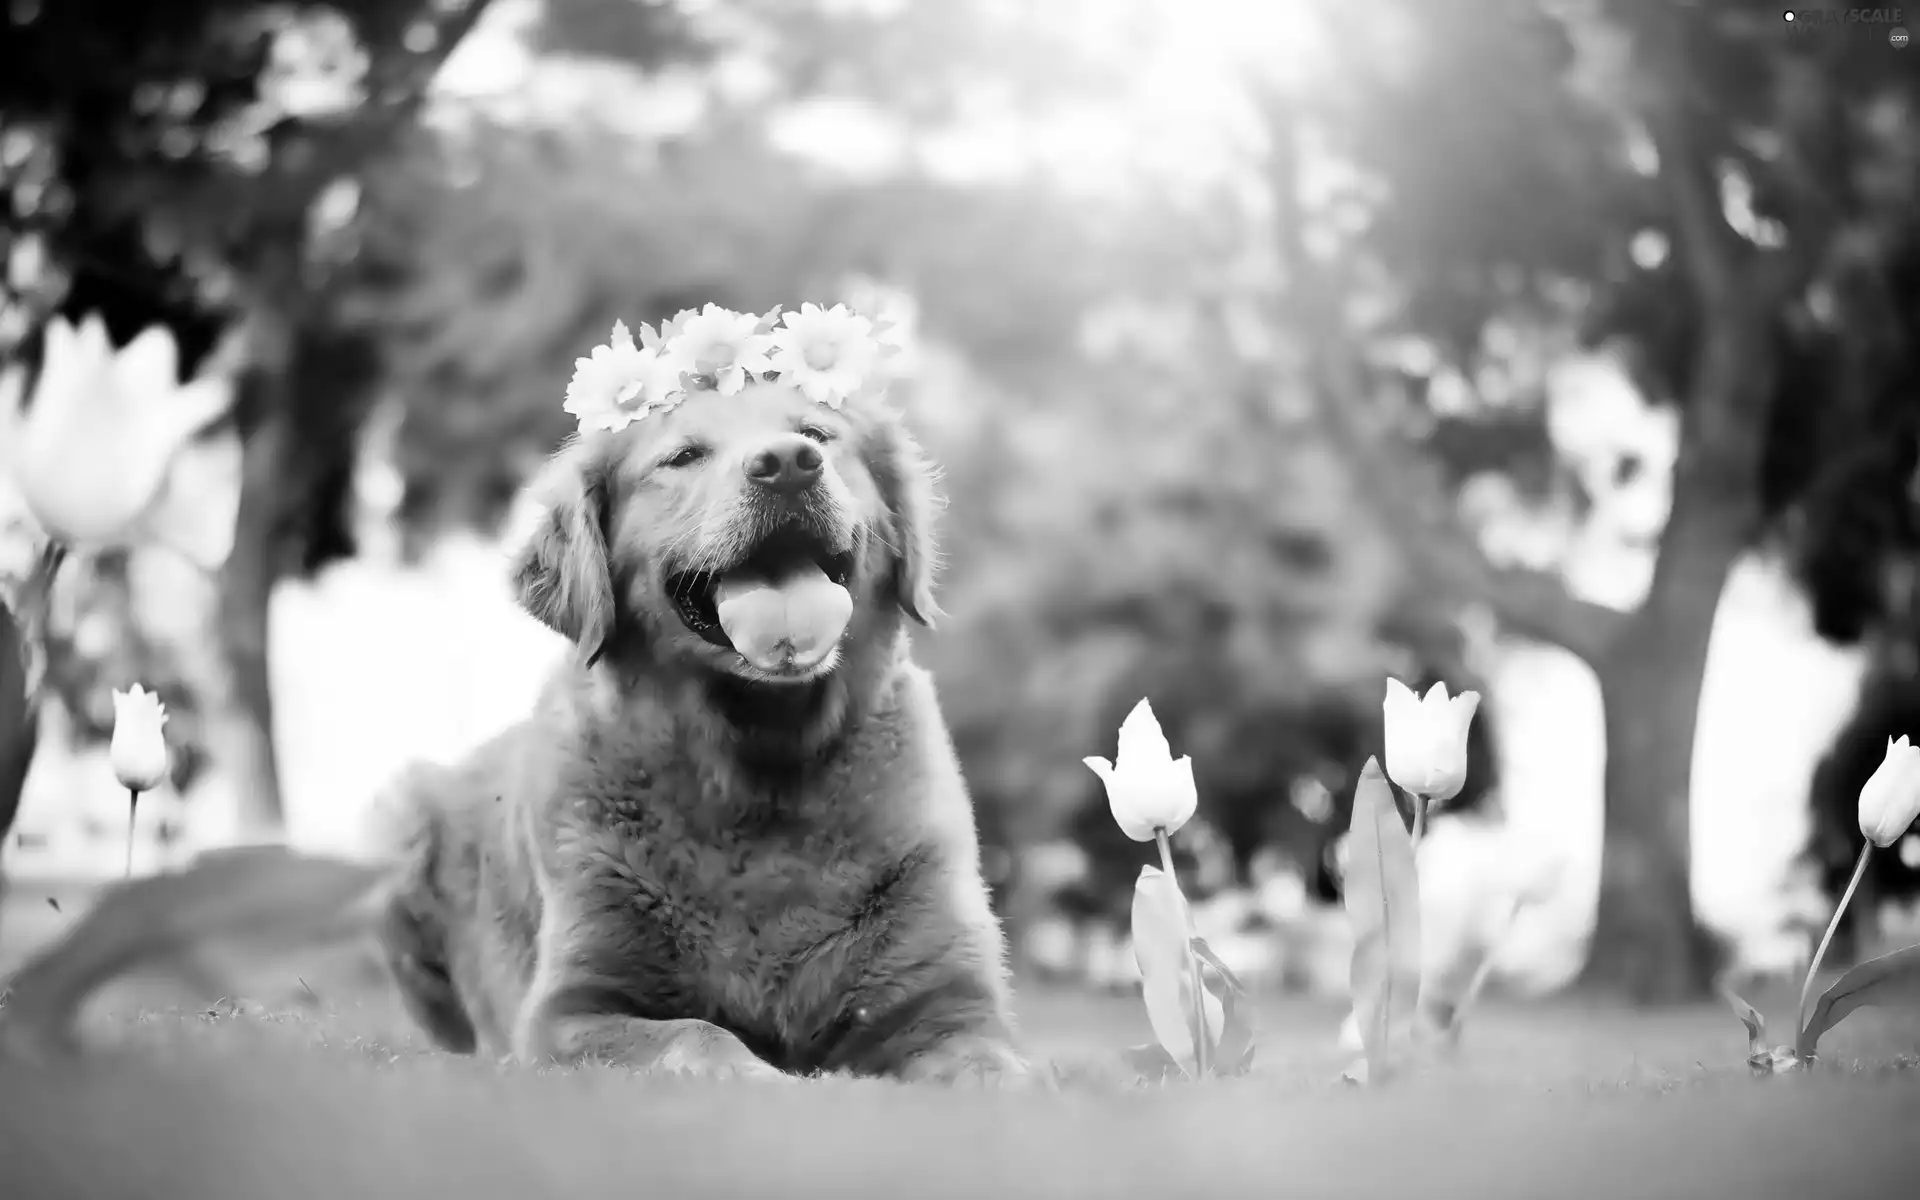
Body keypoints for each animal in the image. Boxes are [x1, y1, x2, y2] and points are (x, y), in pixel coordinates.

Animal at [374, 378, 1029, 1082]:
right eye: (684, 455)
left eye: (817, 434)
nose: (789, 464)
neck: (760, 766)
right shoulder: (568, 1011)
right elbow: (692, 1034)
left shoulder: (951, 1001)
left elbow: (988, 1063)